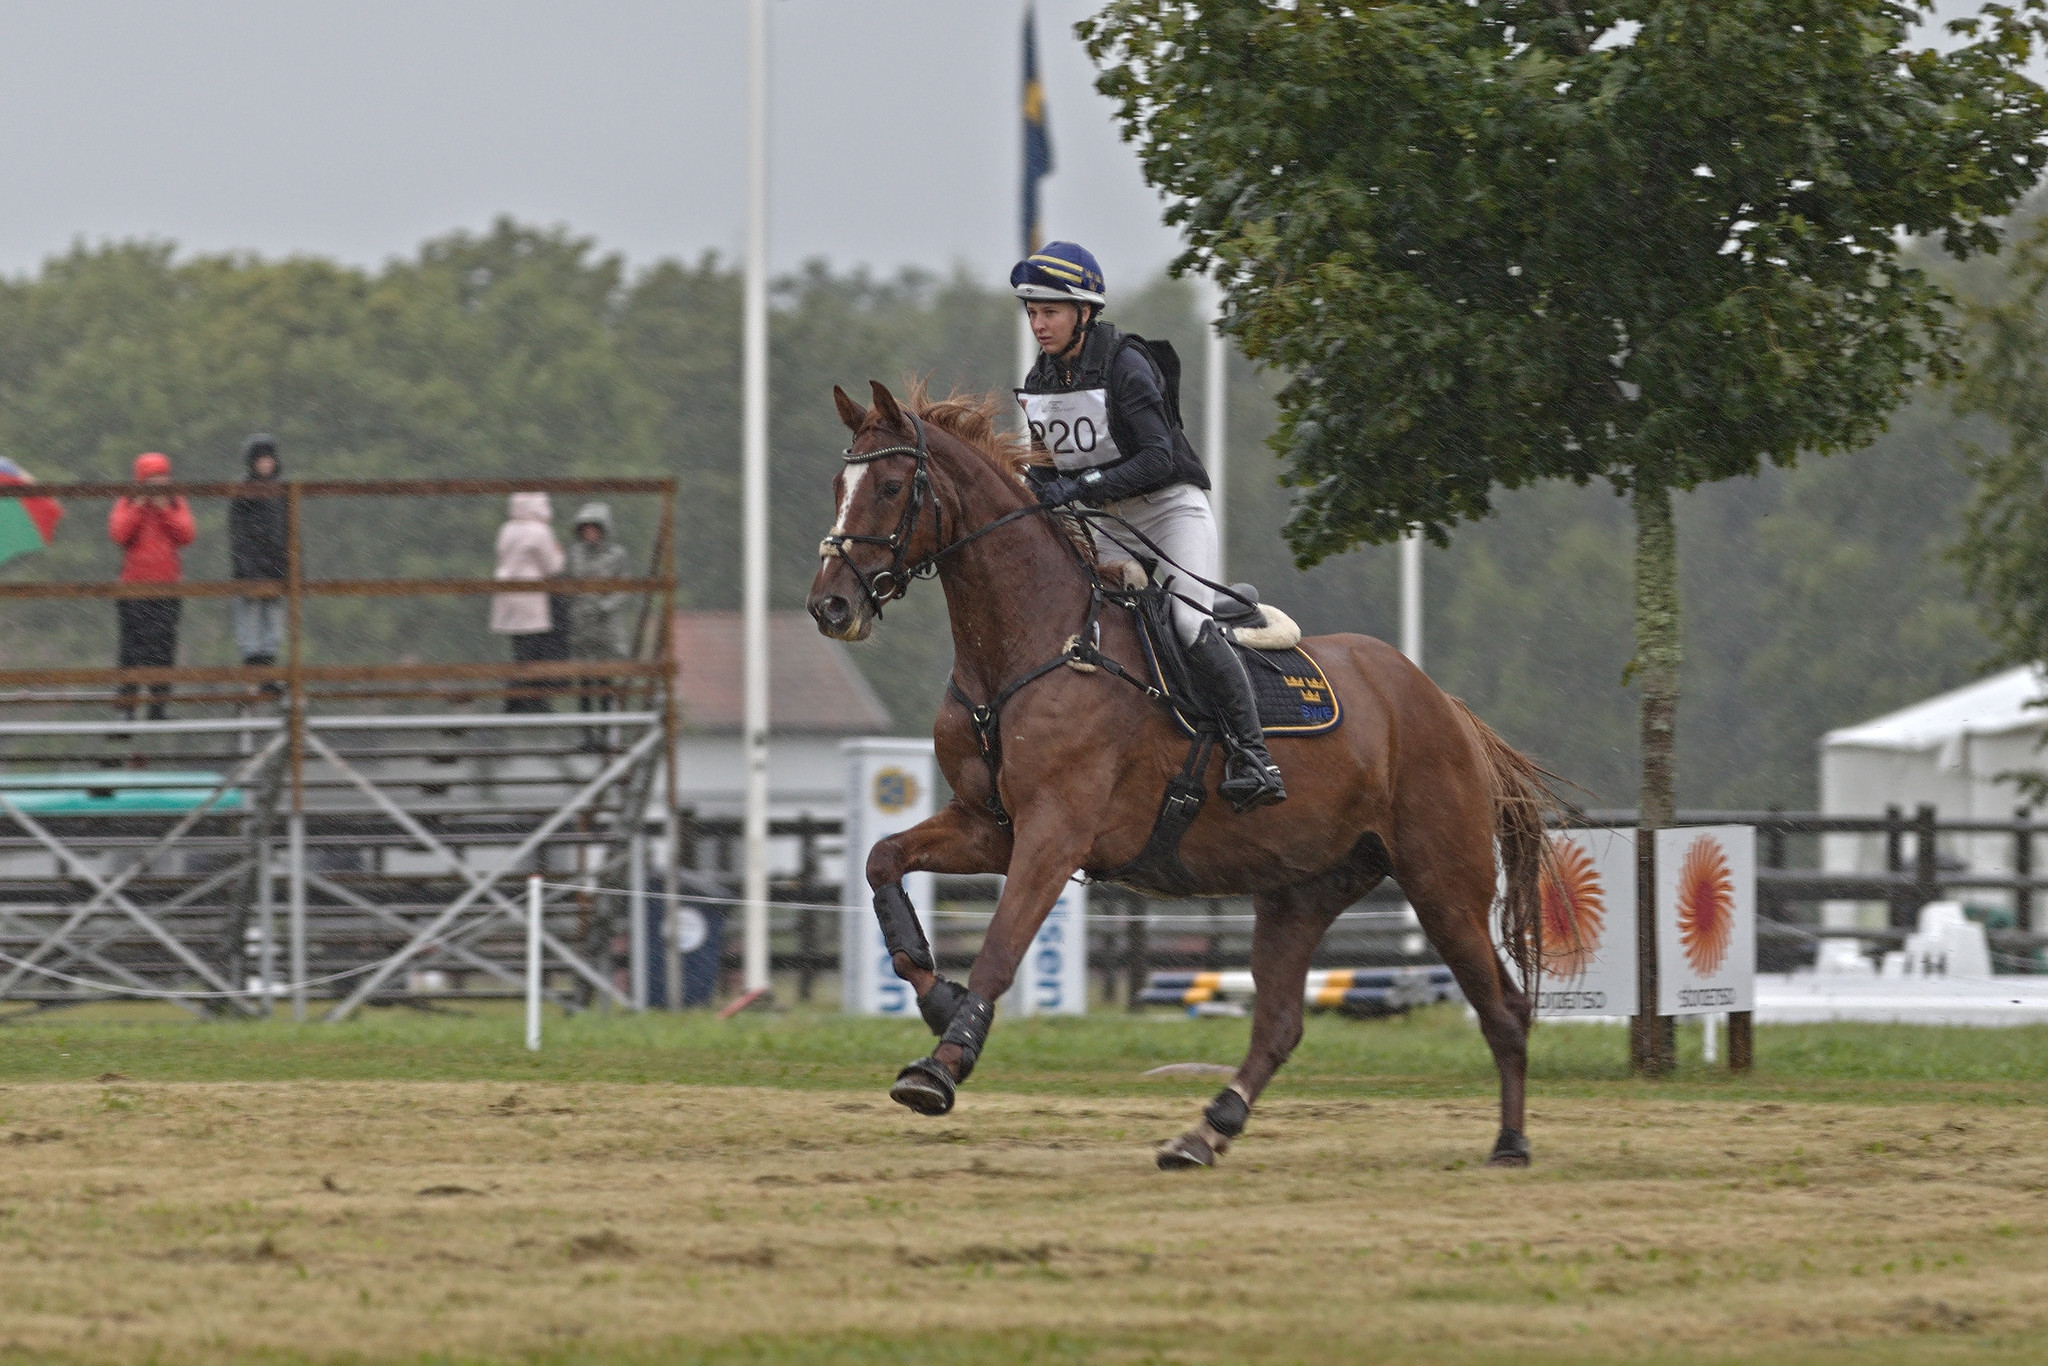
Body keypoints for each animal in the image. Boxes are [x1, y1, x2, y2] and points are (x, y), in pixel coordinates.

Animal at [806, 378, 1556, 1171]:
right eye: (838, 487)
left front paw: (941, 1065)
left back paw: (1510, 1143)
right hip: (1301, 890)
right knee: (1280, 1023)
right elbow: (882, 862)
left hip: (1442, 881)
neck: (1027, 648)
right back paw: (1205, 1132)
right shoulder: (990, 828)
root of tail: (1446, 706)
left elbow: (1001, 950)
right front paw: (938, 1001)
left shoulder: (1054, 834)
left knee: (1503, 1006)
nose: (830, 605)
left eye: (890, 487)